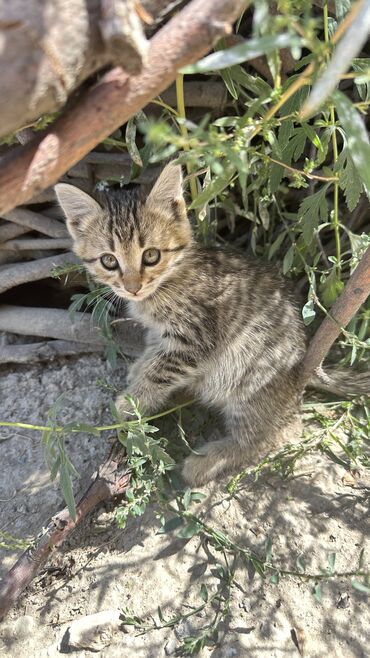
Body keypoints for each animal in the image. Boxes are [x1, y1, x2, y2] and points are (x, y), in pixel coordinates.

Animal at [54, 161, 306, 484]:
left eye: (151, 255)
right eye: (109, 261)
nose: (132, 287)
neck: (169, 279)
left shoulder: (195, 338)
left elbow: (161, 371)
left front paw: (131, 402)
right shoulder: (161, 332)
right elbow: (153, 351)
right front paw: (138, 370)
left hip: (249, 376)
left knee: (273, 435)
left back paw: (207, 461)